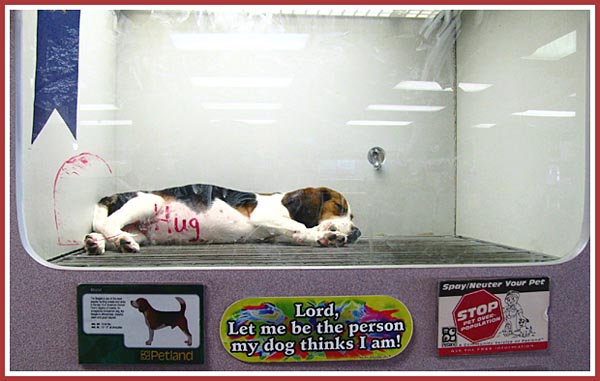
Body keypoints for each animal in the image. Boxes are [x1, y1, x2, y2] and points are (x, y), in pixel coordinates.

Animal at [82, 185, 358, 255]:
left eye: (351, 215)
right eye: (339, 207)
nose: (358, 233)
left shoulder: (278, 232)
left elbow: (299, 232)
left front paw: (323, 237)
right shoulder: (264, 215)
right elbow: (300, 226)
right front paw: (326, 234)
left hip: (142, 230)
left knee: (102, 229)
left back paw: (96, 243)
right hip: (148, 203)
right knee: (107, 224)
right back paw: (122, 241)